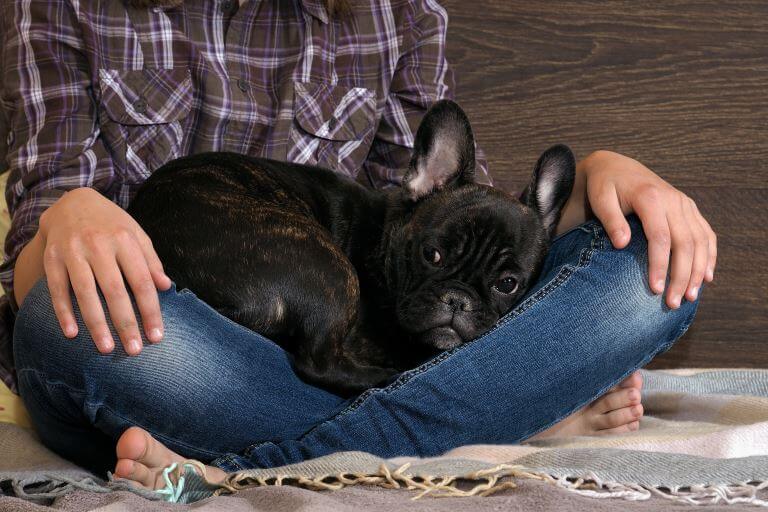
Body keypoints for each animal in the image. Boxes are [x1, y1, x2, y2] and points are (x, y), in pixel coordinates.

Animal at [129, 100, 576, 396]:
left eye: (507, 283)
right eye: (432, 255)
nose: (458, 300)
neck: (385, 247)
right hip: (327, 265)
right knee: (319, 363)